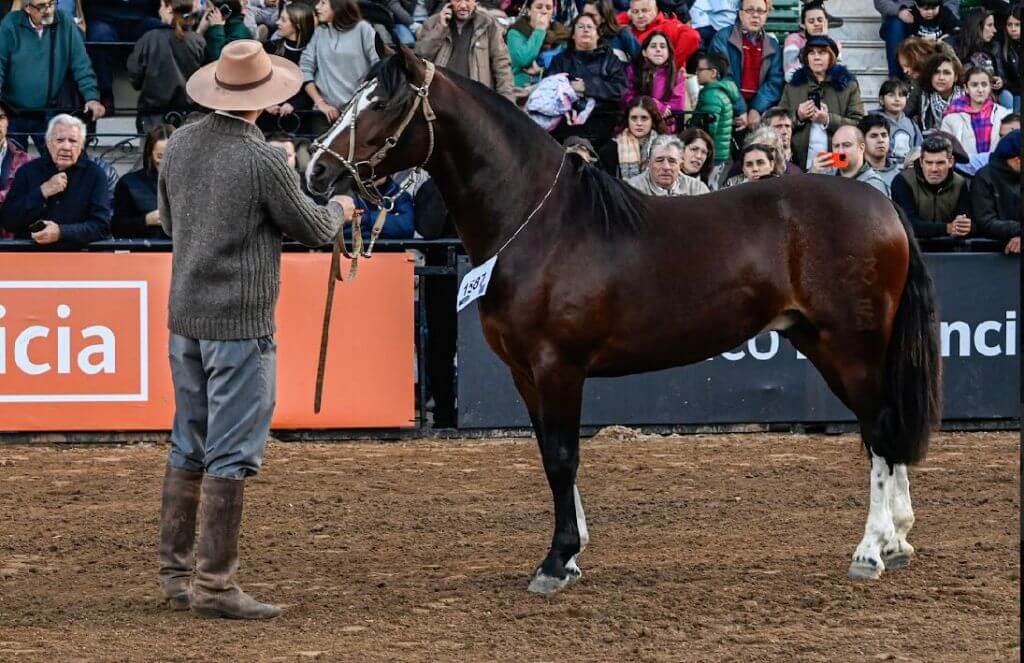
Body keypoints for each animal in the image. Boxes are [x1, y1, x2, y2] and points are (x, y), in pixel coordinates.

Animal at [305, 47, 942, 598]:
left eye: (382, 103)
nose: (315, 171)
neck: (542, 225)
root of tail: (884, 206)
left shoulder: (557, 366)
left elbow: (563, 456)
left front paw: (556, 561)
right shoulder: (524, 373)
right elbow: (550, 454)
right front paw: (572, 553)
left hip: (851, 347)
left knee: (879, 429)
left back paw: (870, 550)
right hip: (826, 343)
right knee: (884, 427)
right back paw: (898, 541)